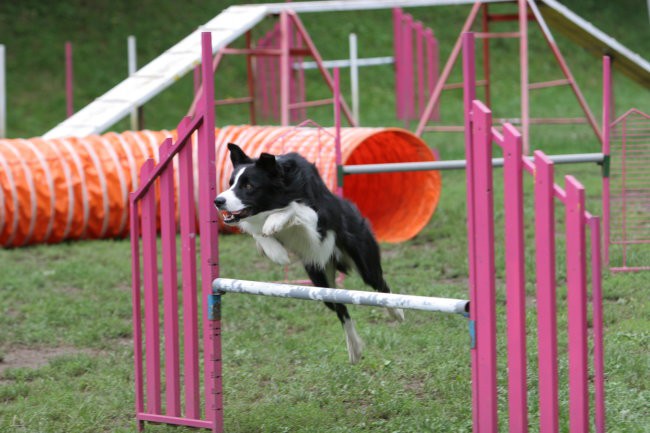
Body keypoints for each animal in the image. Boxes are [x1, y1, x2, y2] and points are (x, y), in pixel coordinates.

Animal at [215, 143, 402, 362]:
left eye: (249, 186)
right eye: (231, 183)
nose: (218, 201)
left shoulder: (319, 221)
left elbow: (294, 208)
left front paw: (274, 222)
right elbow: (257, 232)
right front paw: (276, 251)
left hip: (363, 258)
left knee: (380, 284)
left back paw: (397, 312)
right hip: (319, 281)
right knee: (341, 307)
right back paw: (354, 348)